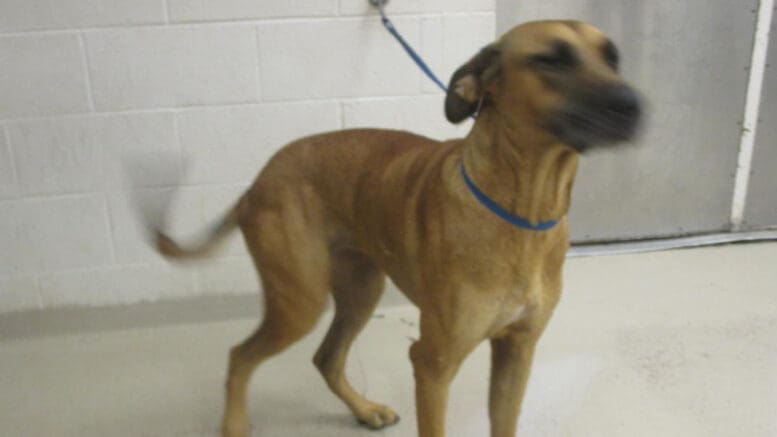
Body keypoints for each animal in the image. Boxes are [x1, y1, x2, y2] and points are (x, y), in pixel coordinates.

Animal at [155, 19, 640, 436]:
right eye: (550, 61)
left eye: (613, 58)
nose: (634, 105)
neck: (523, 213)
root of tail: (256, 184)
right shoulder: (432, 363)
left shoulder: (516, 352)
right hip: (300, 302)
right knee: (240, 355)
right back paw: (235, 424)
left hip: (361, 290)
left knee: (327, 358)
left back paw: (364, 409)